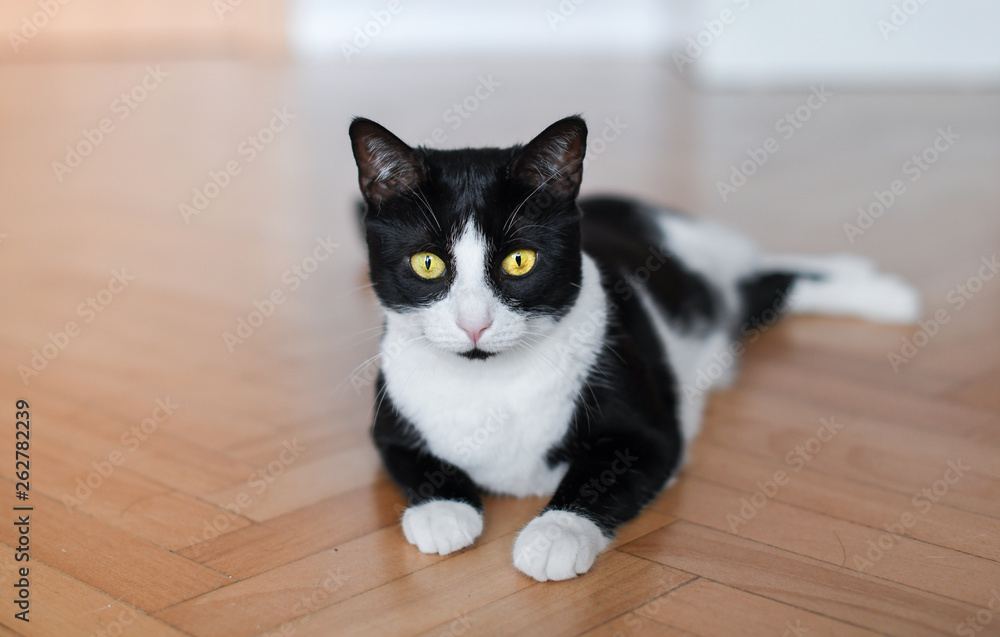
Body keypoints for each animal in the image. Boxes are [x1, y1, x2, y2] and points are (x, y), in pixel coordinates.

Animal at [348, 114, 916, 580]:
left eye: (519, 262)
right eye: (427, 264)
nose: (474, 325)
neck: (490, 383)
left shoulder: (651, 435)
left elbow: (597, 479)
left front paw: (553, 536)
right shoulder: (389, 425)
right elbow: (417, 463)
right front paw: (443, 512)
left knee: (767, 282)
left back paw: (884, 291)